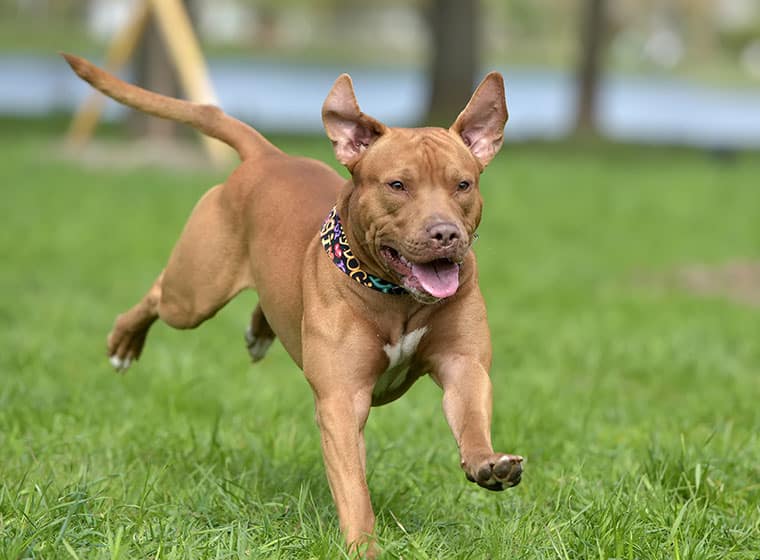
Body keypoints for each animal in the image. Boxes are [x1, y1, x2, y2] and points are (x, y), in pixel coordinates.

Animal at [63, 55, 524, 556]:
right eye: (398, 185)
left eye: (462, 184)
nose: (445, 233)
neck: (396, 297)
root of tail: (268, 156)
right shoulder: (341, 401)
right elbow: (354, 488)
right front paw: (364, 547)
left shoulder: (463, 365)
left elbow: (470, 415)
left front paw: (487, 462)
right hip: (193, 294)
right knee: (158, 295)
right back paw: (125, 341)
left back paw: (260, 330)